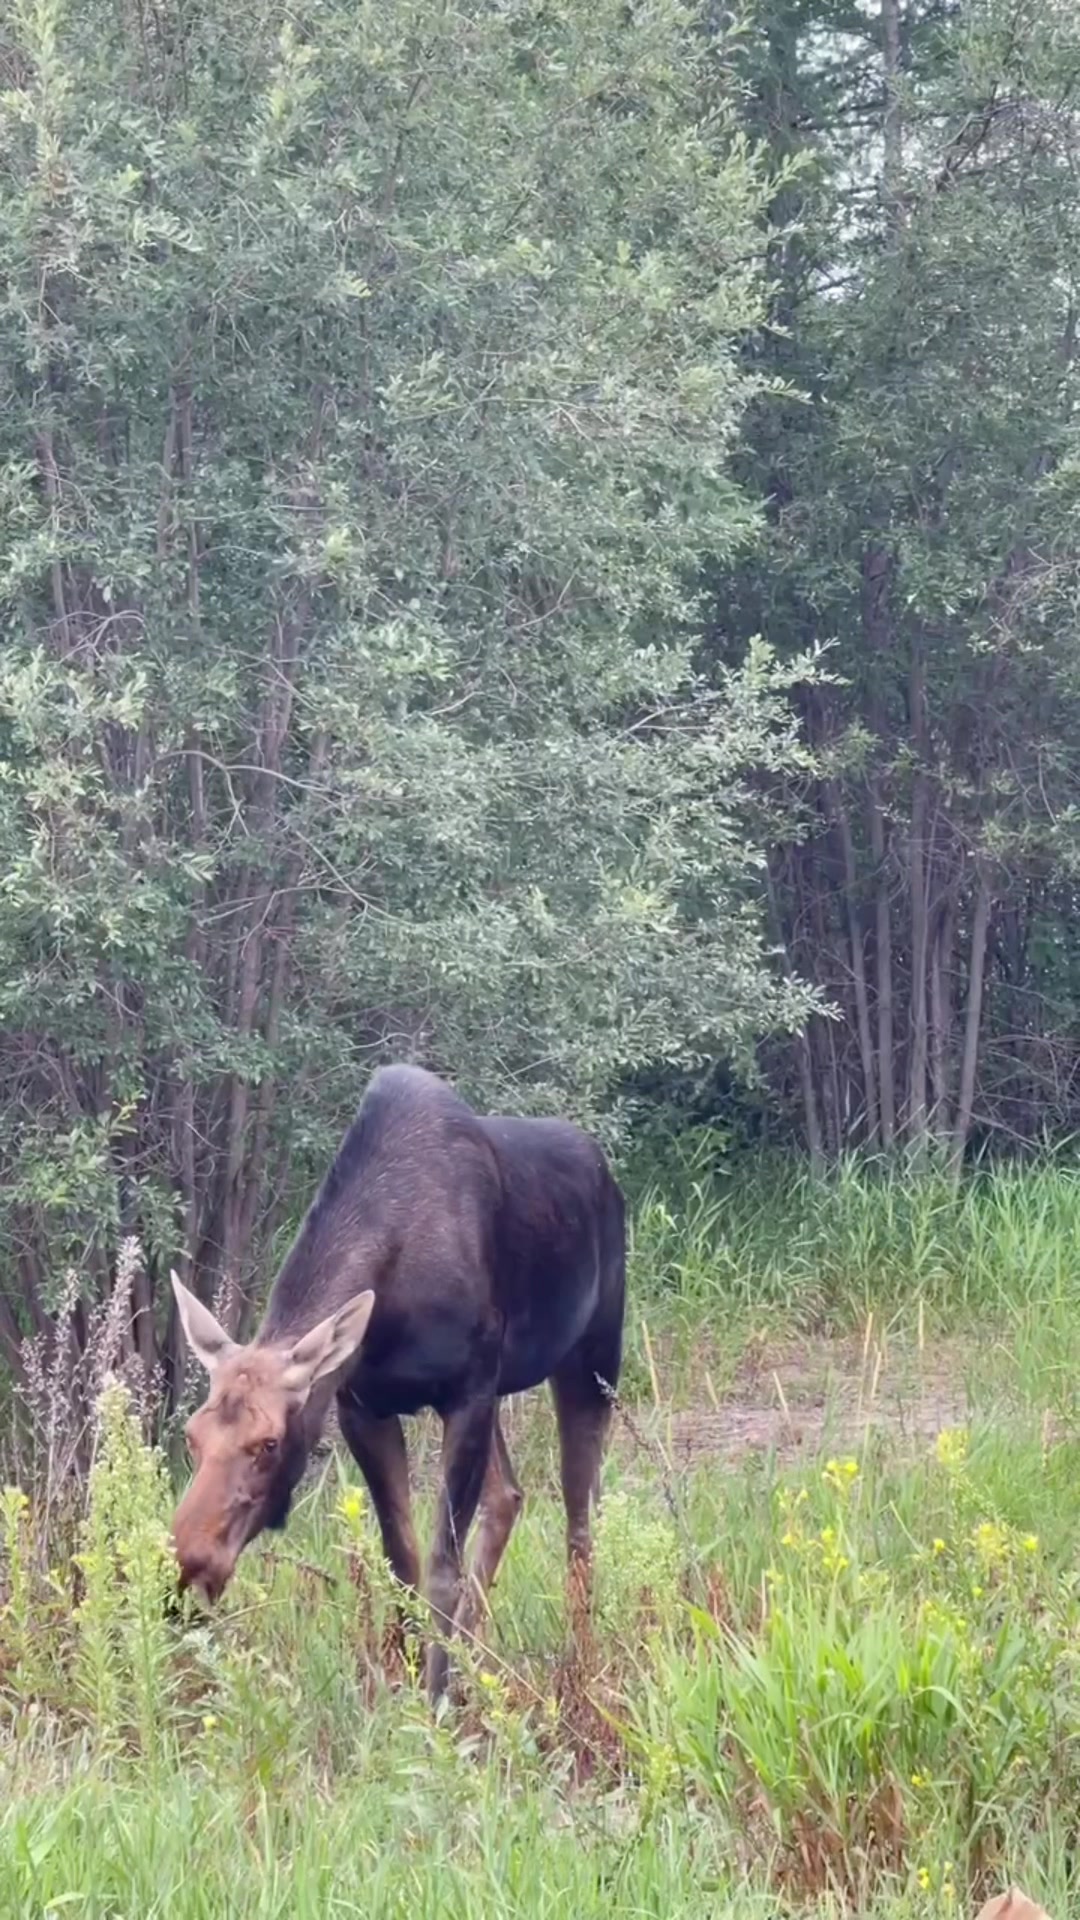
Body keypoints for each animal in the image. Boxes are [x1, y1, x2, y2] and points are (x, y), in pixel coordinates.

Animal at [167, 1059, 622, 1704]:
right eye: (192, 1435)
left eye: (269, 1443)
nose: (185, 1571)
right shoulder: (364, 1406)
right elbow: (400, 1560)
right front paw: (408, 1685)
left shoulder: (467, 1393)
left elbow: (440, 1567)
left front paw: (434, 1699)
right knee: (509, 1496)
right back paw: (475, 1659)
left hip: (593, 1355)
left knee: (582, 1518)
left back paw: (579, 1669)